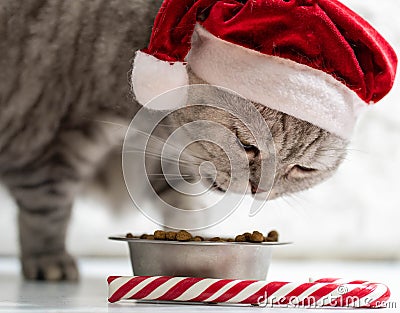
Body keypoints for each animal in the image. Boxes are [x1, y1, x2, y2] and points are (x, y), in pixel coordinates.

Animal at [0, 0, 346, 280]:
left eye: (303, 169)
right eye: (247, 145)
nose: (259, 190)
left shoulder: (162, 158)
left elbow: (182, 204)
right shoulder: (56, 138)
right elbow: (47, 208)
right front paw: (48, 258)